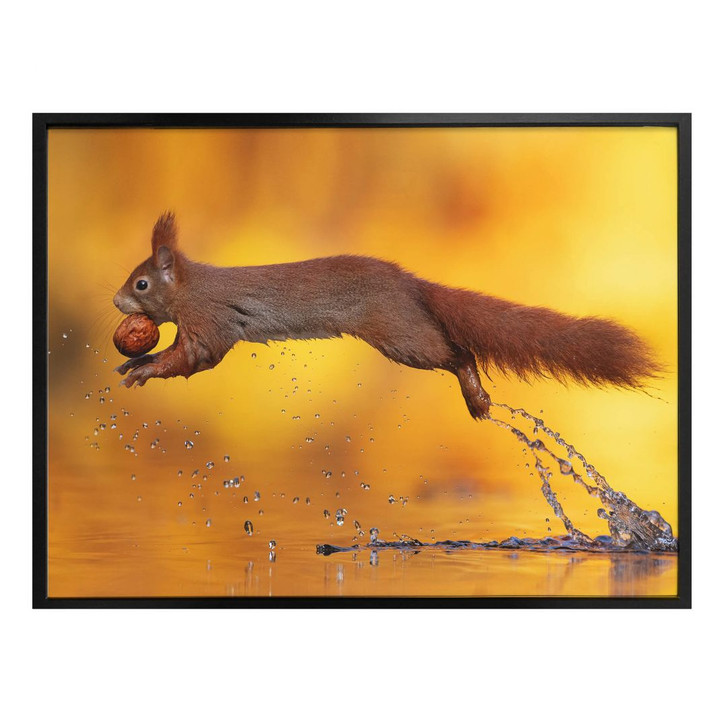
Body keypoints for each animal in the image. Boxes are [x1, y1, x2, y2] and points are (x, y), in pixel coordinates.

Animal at [113, 212, 658, 419]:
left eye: (141, 283)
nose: (117, 302)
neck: (191, 287)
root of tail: (410, 284)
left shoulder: (210, 322)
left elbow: (194, 358)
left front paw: (144, 370)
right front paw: (132, 362)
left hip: (400, 334)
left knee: (458, 352)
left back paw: (476, 395)